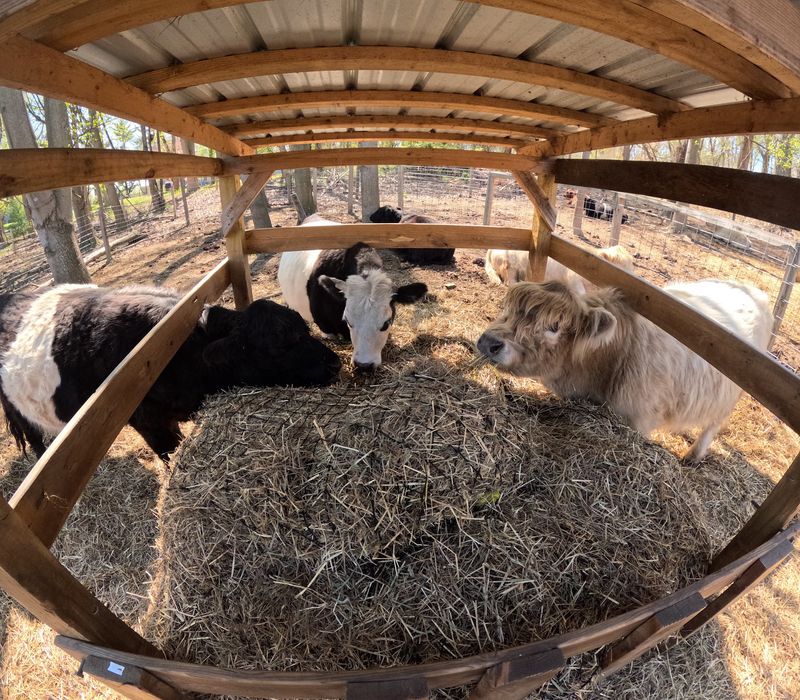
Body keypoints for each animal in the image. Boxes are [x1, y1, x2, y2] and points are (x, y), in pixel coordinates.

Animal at [0, 285, 341, 460]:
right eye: (279, 346)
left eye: (303, 327)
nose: (334, 363)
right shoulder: (150, 423)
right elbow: (169, 455)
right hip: (16, 407)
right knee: (31, 434)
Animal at [476, 279, 772, 462]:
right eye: (508, 310)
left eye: (554, 326)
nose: (488, 342)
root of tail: (753, 290)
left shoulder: (637, 418)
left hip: (730, 396)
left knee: (713, 424)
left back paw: (693, 455)